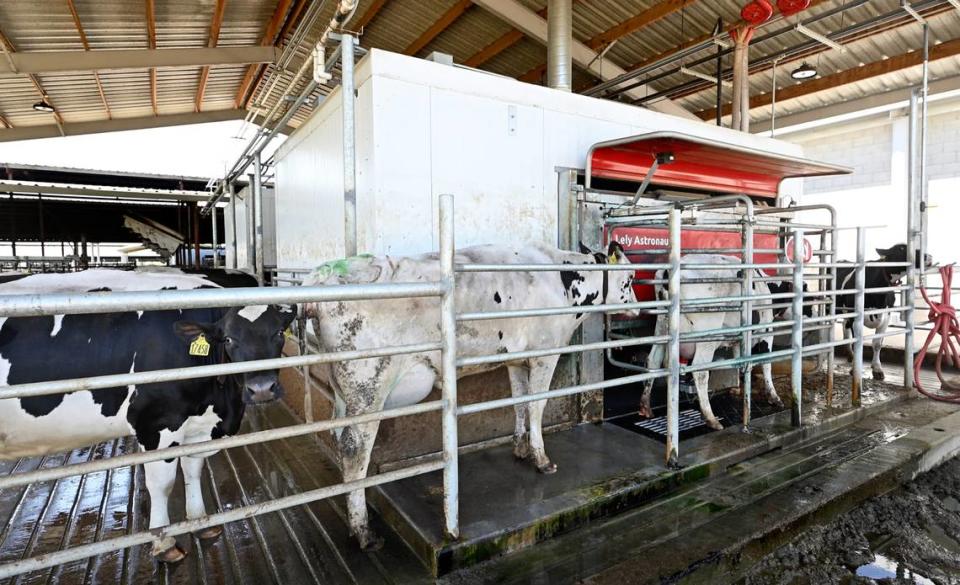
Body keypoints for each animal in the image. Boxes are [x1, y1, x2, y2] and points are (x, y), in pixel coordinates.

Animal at [306, 241, 636, 548]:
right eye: (630, 278)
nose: (637, 305)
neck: (564, 278)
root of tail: (324, 275)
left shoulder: (515, 358)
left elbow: (518, 403)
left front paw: (520, 448)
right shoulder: (545, 353)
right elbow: (535, 405)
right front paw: (541, 459)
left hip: (344, 390)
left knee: (338, 435)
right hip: (369, 387)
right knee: (354, 448)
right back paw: (364, 531)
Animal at [636, 254, 780, 428]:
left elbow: (741, 360)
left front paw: (738, 387)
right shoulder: (767, 329)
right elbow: (766, 362)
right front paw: (773, 396)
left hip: (661, 328)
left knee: (653, 360)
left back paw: (645, 406)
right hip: (707, 335)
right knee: (699, 370)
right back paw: (711, 419)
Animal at [836, 242, 932, 378]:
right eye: (901, 248)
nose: (928, 256)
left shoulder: (886, 316)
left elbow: (877, 343)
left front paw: (877, 368)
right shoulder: (855, 317)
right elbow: (857, 343)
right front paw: (855, 369)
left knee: (845, 328)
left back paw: (850, 355)